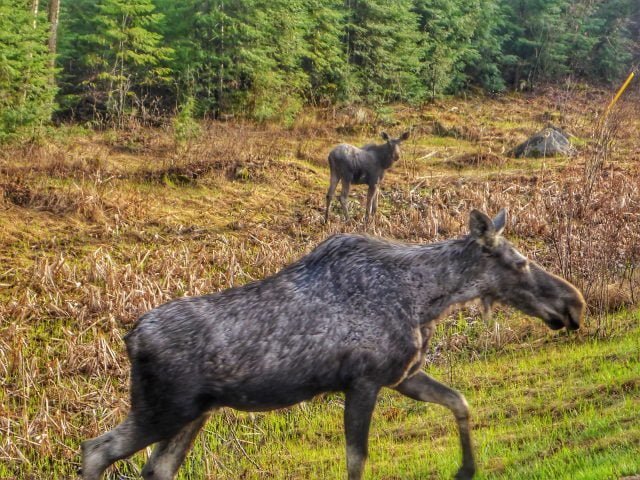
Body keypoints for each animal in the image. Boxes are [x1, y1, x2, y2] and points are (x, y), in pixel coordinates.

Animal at [81, 208, 585, 480]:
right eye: (520, 262)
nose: (574, 303)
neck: (426, 298)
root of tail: (130, 337)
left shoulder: (401, 376)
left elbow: (459, 402)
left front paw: (466, 468)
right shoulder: (362, 382)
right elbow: (356, 460)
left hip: (192, 414)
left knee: (156, 467)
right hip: (161, 409)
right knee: (96, 449)